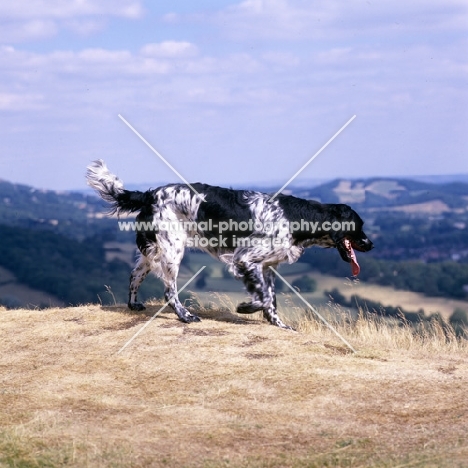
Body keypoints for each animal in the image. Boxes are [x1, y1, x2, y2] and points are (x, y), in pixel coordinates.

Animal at [87, 161, 372, 330]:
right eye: (358, 225)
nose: (371, 244)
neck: (295, 217)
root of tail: (149, 194)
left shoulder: (267, 266)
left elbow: (271, 299)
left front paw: (279, 324)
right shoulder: (245, 259)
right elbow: (264, 297)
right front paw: (245, 308)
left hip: (154, 250)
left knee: (135, 275)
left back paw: (134, 304)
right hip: (172, 249)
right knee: (169, 291)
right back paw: (185, 316)